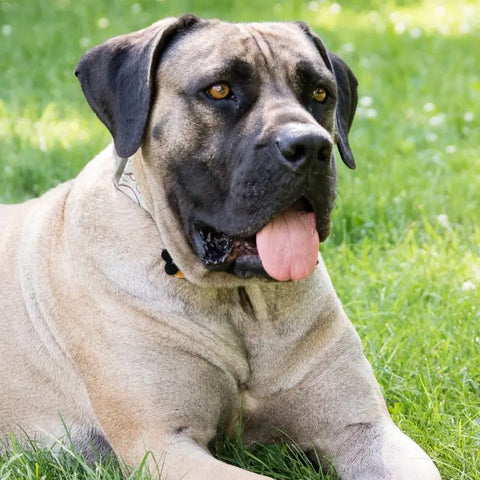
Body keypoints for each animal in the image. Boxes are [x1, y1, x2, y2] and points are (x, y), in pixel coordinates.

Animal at [0, 15, 442, 480]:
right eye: (219, 90)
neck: (238, 301)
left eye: (321, 93)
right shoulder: (162, 444)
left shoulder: (361, 426)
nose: (311, 146)